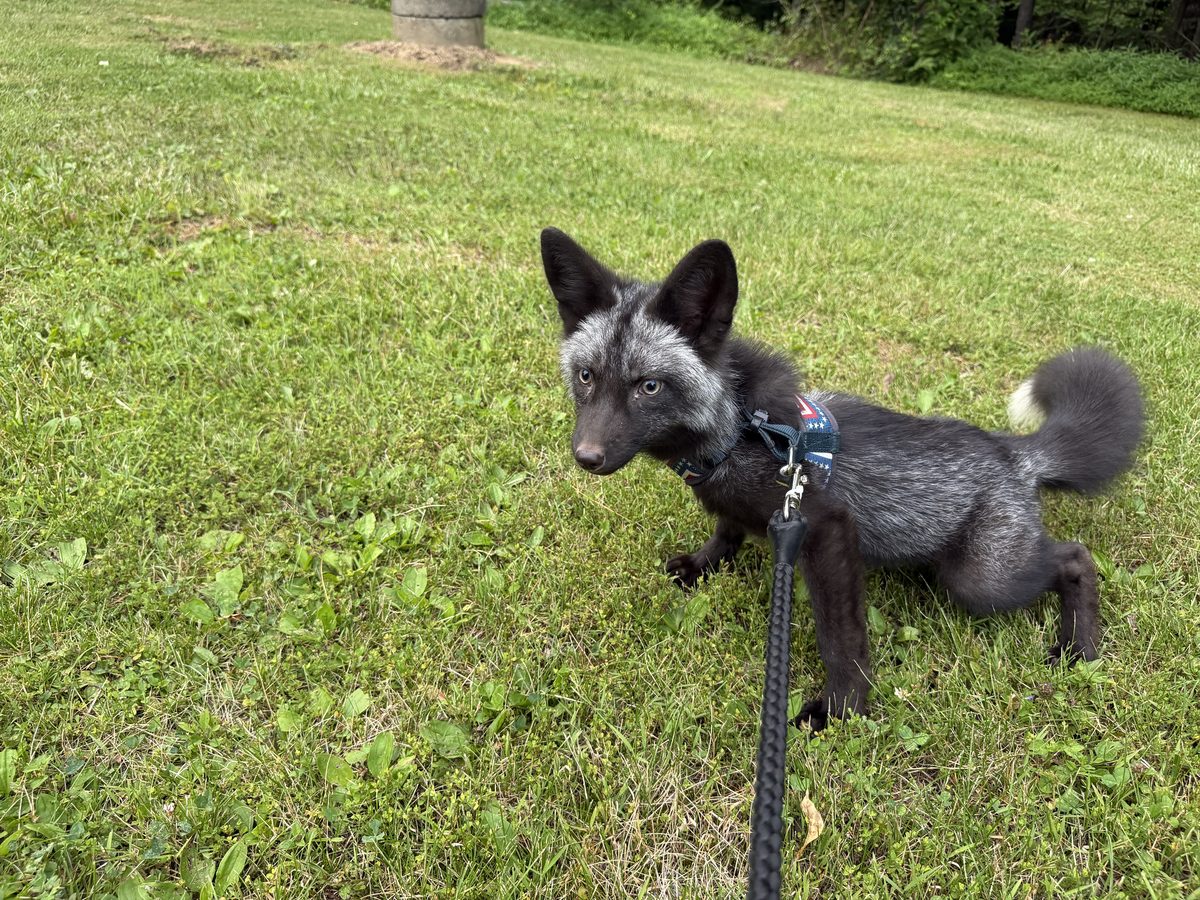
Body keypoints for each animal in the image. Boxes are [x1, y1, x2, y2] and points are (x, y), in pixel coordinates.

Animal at [540, 227, 1145, 730]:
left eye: (648, 387)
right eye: (587, 377)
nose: (586, 457)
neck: (741, 431)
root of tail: (1011, 451)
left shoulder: (825, 530)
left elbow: (840, 636)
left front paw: (843, 706)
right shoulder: (742, 509)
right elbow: (725, 531)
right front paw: (703, 564)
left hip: (983, 581)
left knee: (1075, 557)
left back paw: (1079, 648)